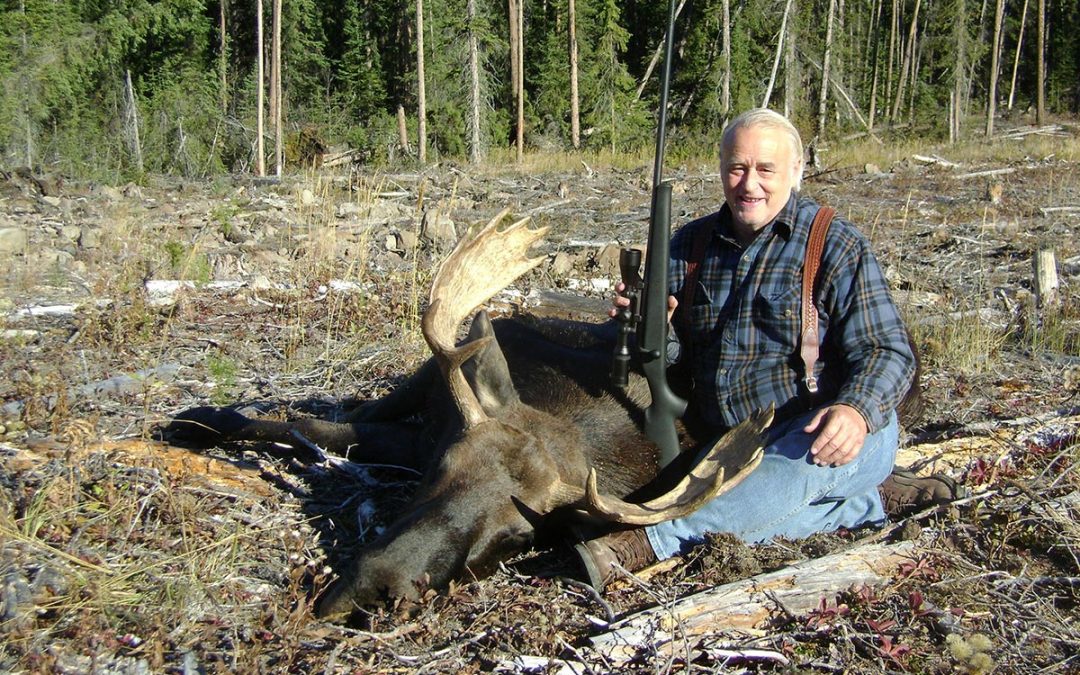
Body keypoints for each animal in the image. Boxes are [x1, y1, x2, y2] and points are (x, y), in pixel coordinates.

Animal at [164, 211, 773, 622]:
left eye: (521, 535)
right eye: (444, 468)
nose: (377, 588)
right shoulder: (420, 438)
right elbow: (311, 426)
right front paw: (195, 420)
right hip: (426, 373)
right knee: (363, 403)